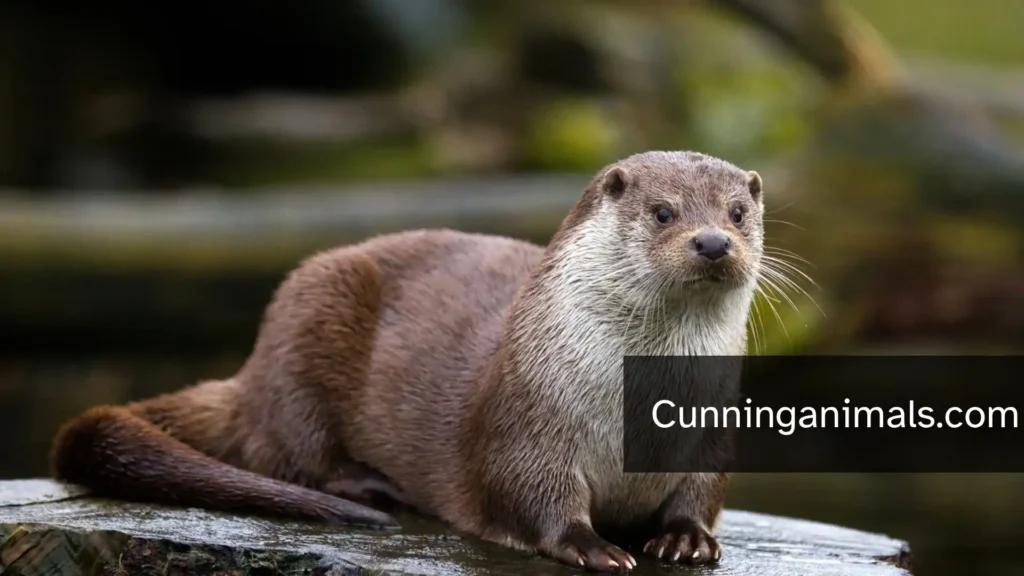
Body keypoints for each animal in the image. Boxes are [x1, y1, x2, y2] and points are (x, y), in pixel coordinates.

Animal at [51, 151, 767, 573]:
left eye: (738, 212)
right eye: (663, 212)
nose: (712, 241)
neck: (634, 408)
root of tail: (250, 375)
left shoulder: (711, 432)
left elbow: (702, 492)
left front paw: (685, 539)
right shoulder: (527, 421)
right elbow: (531, 496)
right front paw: (593, 546)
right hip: (306, 320)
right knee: (285, 451)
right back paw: (370, 487)